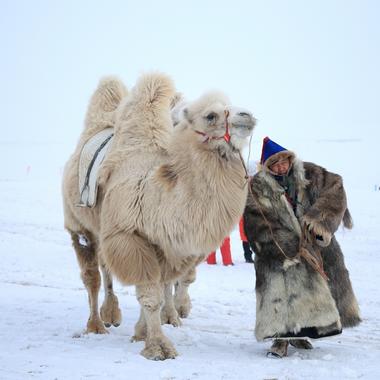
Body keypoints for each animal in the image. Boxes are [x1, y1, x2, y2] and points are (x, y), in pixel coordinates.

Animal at [62, 71, 255, 360]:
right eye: (211, 115)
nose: (248, 115)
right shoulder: (129, 237)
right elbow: (151, 295)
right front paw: (158, 347)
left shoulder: (166, 244)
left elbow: (162, 288)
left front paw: (144, 331)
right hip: (79, 226)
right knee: (91, 277)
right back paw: (96, 325)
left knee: (107, 269)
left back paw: (112, 315)